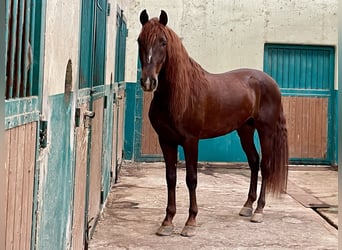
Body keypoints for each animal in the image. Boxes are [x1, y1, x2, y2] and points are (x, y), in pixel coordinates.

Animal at [138, 9, 288, 236]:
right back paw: (247, 206)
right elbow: (171, 178)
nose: (148, 82)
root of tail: (271, 82)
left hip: (266, 131)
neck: (178, 95)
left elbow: (191, 179)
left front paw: (190, 222)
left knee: (266, 165)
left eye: (163, 42)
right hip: (245, 130)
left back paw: (259, 211)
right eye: (139, 40)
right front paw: (167, 222)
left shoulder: (191, 141)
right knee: (254, 162)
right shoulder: (166, 141)